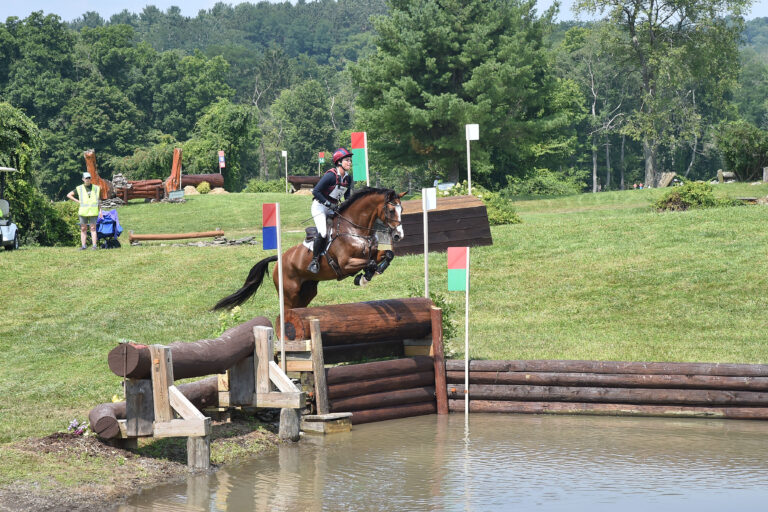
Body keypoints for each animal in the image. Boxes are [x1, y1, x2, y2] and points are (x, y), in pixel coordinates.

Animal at [213, 187, 404, 310]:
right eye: (391, 210)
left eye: (402, 209)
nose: (398, 236)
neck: (355, 230)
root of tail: (279, 259)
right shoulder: (345, 264)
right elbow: (370, 263)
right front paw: (364, 277)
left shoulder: (373, 253)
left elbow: (388, 254)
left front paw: (370, 274)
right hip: (288, 294)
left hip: (306, 292)